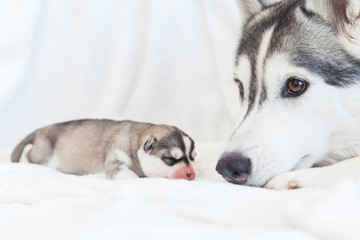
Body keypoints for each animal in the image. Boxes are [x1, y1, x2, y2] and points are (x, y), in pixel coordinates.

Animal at [10, 119, 197, 180]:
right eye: (170, 159)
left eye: (193, 157)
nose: (192, 174)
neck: (134, 140)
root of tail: (41, 129)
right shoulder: (116, 156)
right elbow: (127, 174)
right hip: (44, 152)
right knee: (31, 154)